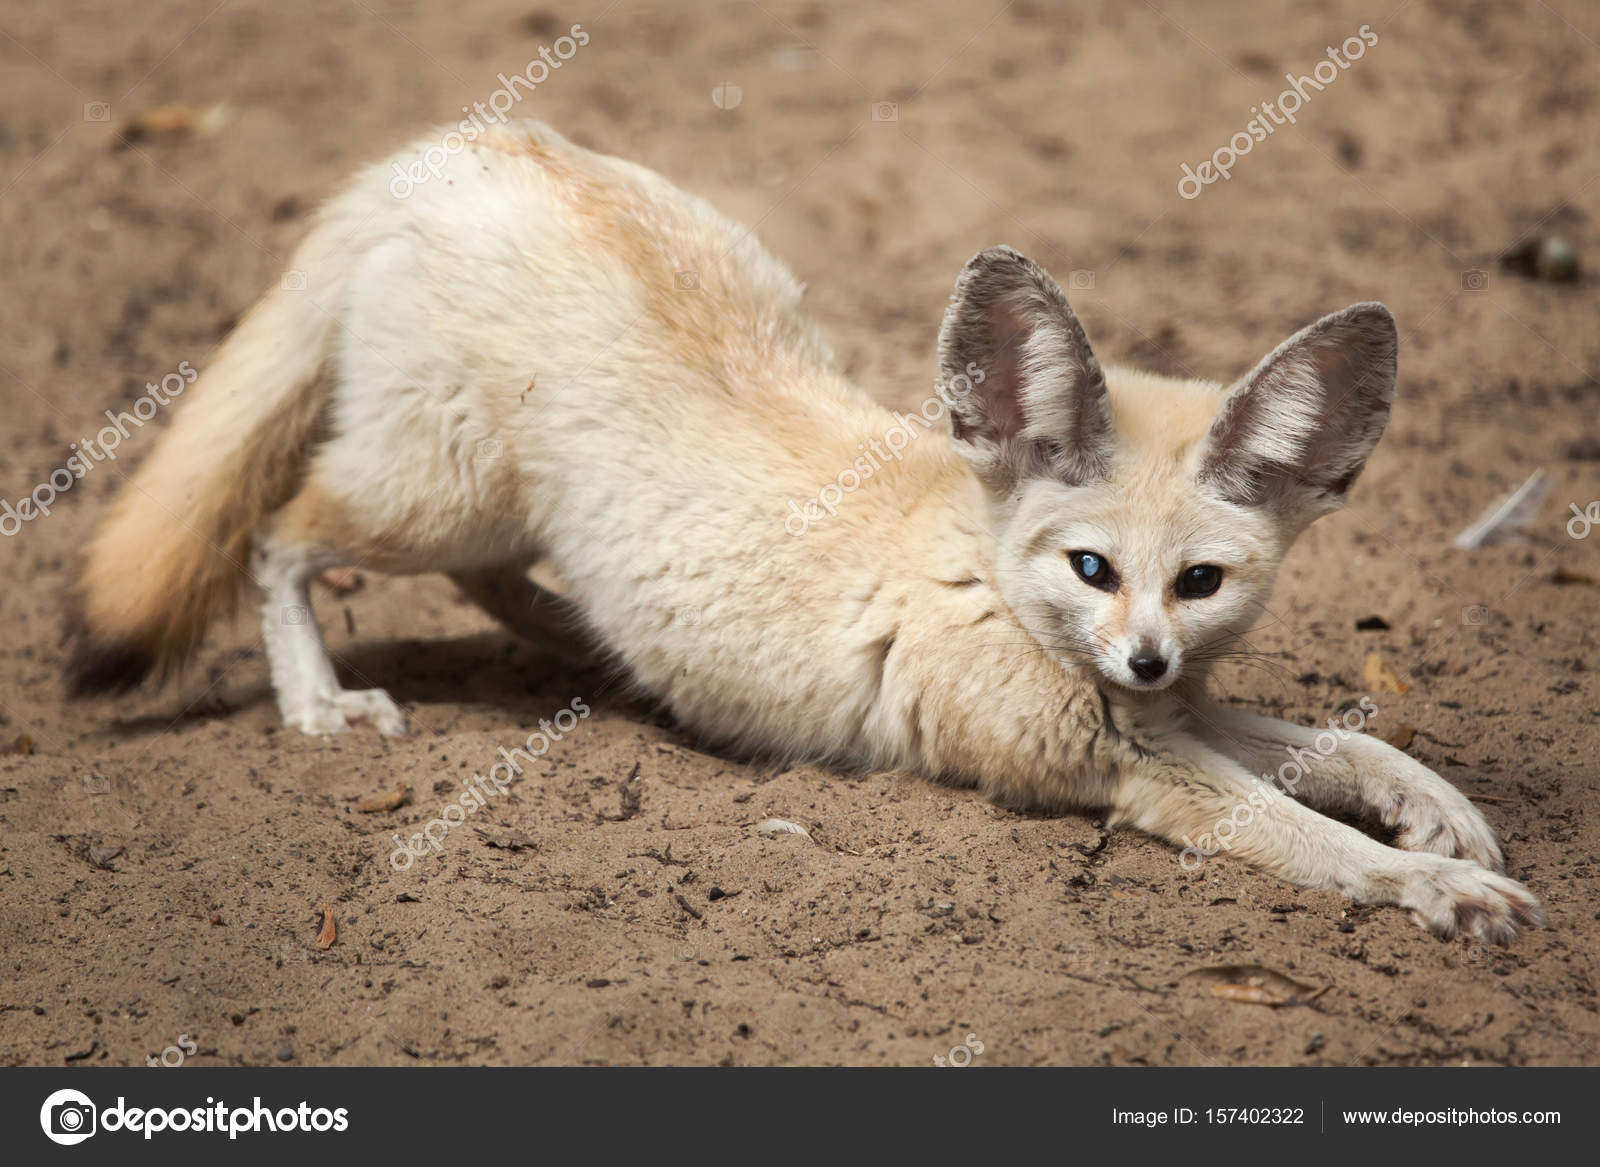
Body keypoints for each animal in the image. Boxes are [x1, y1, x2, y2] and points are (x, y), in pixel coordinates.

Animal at [66, 119, 1542, 944]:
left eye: (1200, 580)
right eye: (1090, 567)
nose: (1142, 659)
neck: (977, 565)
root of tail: (466, 148)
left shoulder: (1166, 715)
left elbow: (1334, 742)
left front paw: (1435, 807)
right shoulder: (1112, 759)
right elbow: (1303, 832)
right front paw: (1426, 885)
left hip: (497, 490)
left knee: (499, 582)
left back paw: (608, 647)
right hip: (429, 495)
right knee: (280, 535)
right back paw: (319, 701)